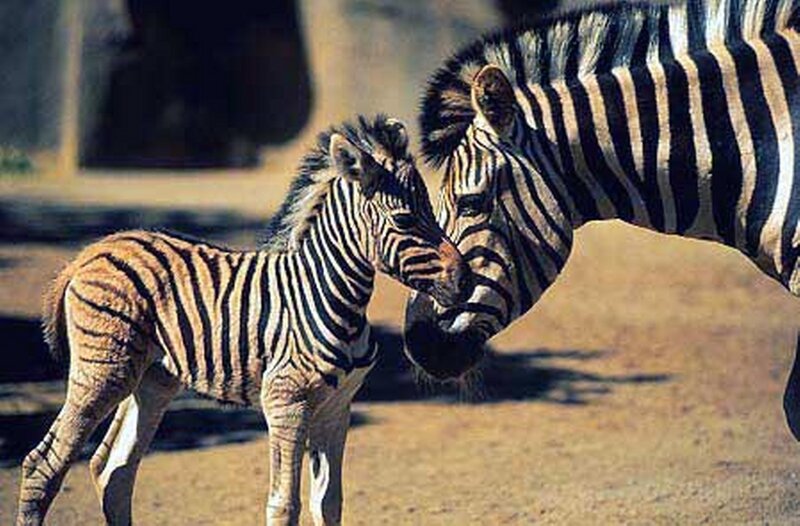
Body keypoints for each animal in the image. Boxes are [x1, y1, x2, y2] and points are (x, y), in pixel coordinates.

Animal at [17, 115, 469, 526]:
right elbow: (284, 505)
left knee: (115, 470)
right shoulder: (286, 402)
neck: (332, 297)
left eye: (432, 209)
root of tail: (92, 250)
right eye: (405, 220)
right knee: (44, 464)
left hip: (152, 378)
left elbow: (329, 504)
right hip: (103, 371)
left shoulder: (337, 408)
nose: (465, 280)